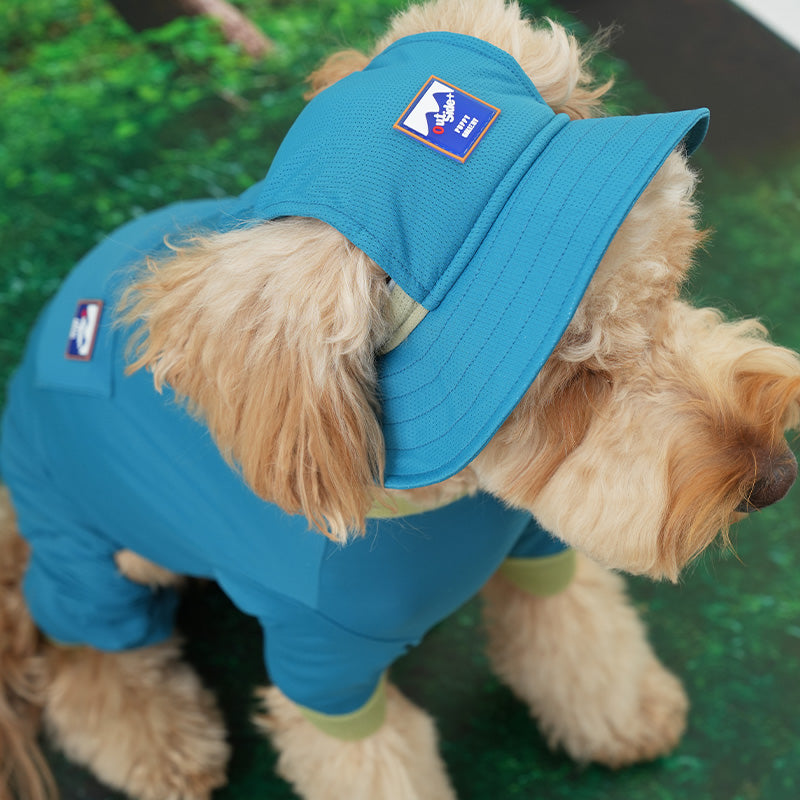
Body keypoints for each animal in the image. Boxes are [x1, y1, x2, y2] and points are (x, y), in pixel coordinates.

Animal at [1, 1, 800, 800]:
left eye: (667, 285)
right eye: (568, 377)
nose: (776, 477)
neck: (451, 496)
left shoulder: (538, 549)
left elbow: (580, 631)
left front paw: (628, 712)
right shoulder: (325, 671)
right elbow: (371, 759)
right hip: (95, 558)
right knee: (77, 655)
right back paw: (161, 743)